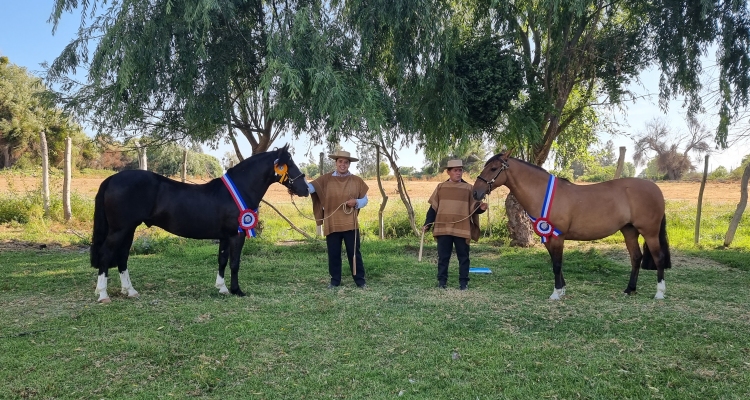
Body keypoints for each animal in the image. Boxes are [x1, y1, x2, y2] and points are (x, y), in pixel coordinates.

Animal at [91, 144, 308, 304]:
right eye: (289, 164)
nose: (305, 189)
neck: (238, 190)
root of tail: (112, 179)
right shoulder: (236, 235)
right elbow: (235, 262)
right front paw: (237, 290)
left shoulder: (225, 237)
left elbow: (222, 260)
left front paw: (222, 288)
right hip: (119, 230)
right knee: (106, 255)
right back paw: (103, 294)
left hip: (128, 230)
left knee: (122, 256)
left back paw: (130, 291)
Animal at [472, 152, 672, 300]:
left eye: (494, 168)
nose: (476, 192)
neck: (544, 193)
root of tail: (655, 188)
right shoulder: (548, 236)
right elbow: (555, 262)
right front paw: (562, 289)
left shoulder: (557, 236)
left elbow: (557, 264)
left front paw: (556, 293)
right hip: (629, 230)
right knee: (636, 258)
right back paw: (629, 289)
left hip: (650, 232)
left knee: (658, 257)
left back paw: (659, 293)